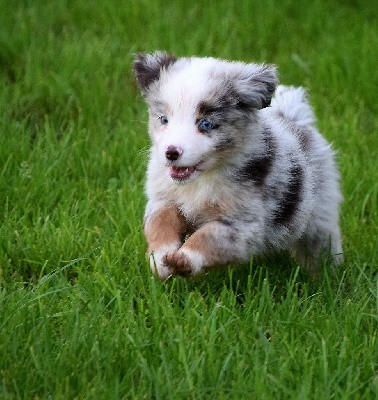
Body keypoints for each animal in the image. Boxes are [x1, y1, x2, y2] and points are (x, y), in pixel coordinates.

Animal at [133, 52, 342, 278]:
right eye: (163, 119)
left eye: (205, 123)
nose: (171, 153)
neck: (201, 179)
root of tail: (293, 118)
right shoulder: (163, 200)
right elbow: (161, 226)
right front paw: (160, 261)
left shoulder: (241, 224)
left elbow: (207, 238)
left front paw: (183, 259)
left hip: (319, 216)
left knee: (321, 245)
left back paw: (327, 278)